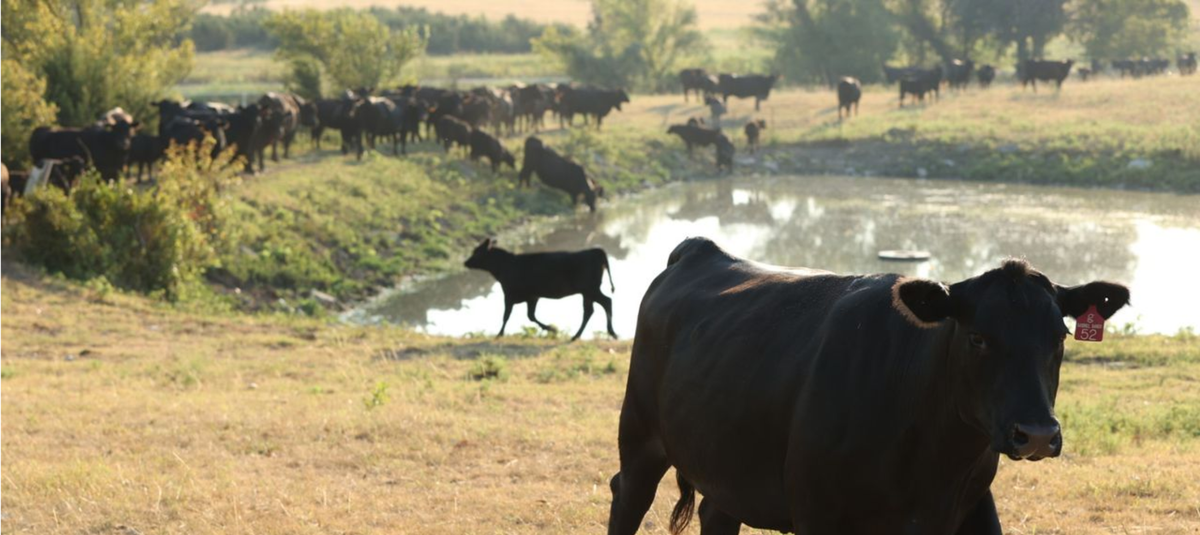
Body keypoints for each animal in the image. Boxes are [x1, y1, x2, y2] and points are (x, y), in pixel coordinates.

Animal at [464, 238, 617, 341]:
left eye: (477, 252)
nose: (466, 262)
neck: (505, 266)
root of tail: (595, 251)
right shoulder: (532, 297)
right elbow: (530, 316)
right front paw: (551, 329)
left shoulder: (509, 294)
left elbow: (506, 315)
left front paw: (499, 334)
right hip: (587, 292)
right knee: (589, 311)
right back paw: (576, 336)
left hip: (591, 289)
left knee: (606, 302)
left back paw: (611, 332)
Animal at [607, 238, 1131, 535]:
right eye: (978, 337)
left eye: (1059, 335)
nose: (1037, 434)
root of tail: (700, 248)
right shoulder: (818, 514)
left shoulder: (970, 509)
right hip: (640, 437)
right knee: (626, 497)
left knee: (716, 515)